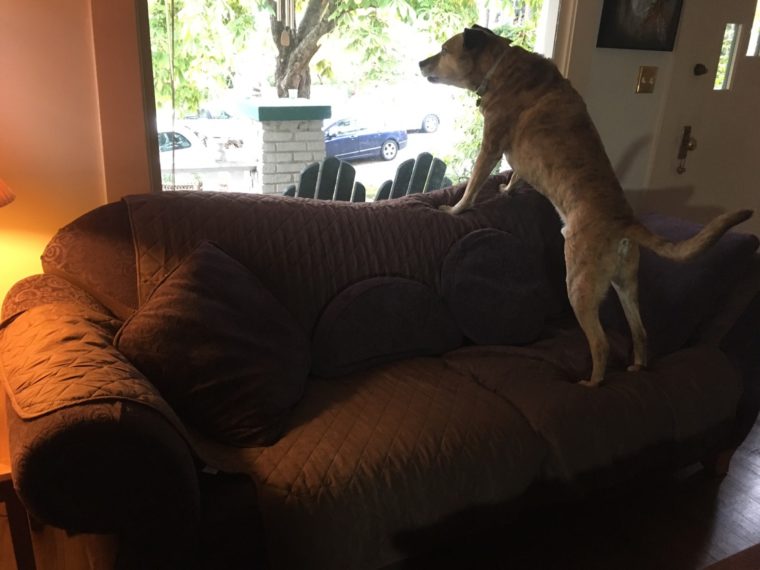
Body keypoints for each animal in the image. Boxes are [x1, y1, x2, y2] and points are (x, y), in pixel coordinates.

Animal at [422, 24, 756, 384]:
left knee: (601, 343)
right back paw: (637, 366)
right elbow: (516, 175)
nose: (420, 64)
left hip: (579, 285)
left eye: (445, 50)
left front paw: (453, 209)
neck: (499, 65)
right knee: (640, 331)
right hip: (626, 284)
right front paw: (507, 189)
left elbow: (472, 186)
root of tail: (625, 222)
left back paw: (591, 383)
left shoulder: (490, 145)